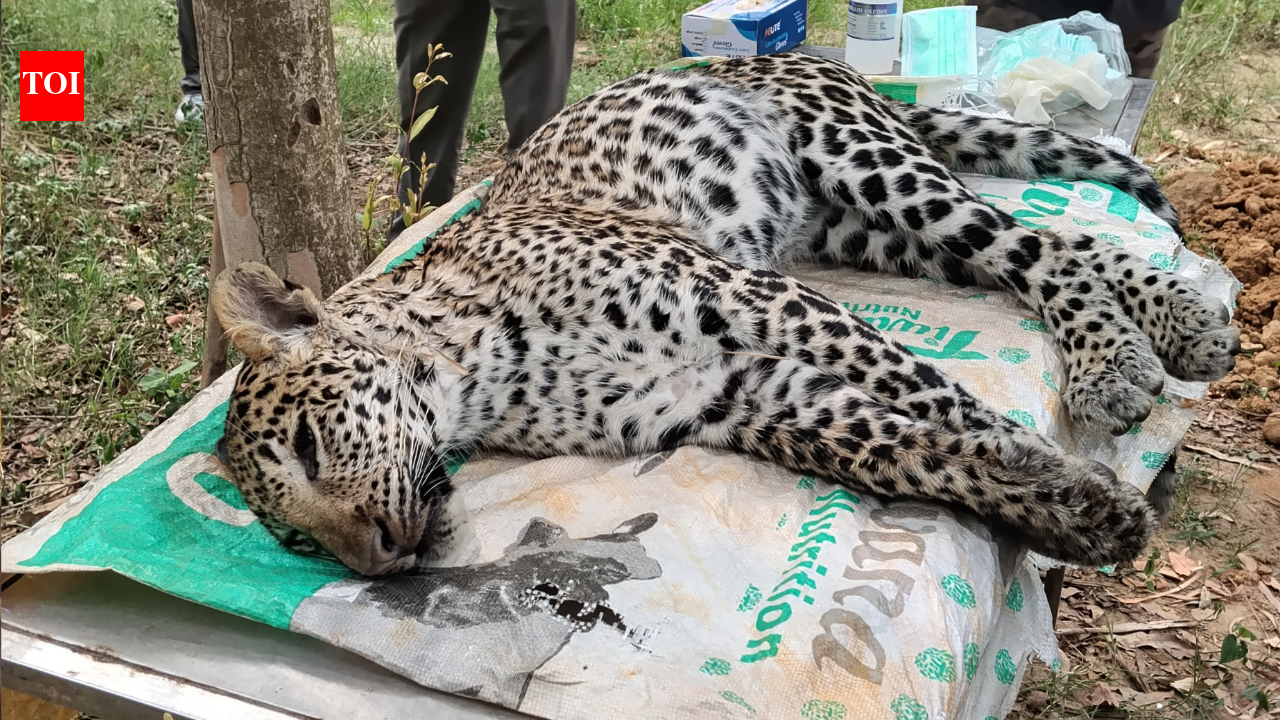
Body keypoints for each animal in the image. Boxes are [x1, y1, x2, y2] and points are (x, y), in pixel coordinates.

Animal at [210, 52, 1238, 577]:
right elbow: (907, 449)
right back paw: (1176, 327)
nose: (377, 562)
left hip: (870, 168)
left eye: (309, 445)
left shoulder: (752, 299)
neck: (479, 376)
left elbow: (934, 398)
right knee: (1054, 243)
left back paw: (1125, 358)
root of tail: (804, 52)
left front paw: (1072, 483)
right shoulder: (733, 394)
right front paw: (1070, 514)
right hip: (867, 235)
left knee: (1038, 247)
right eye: (294, 539)